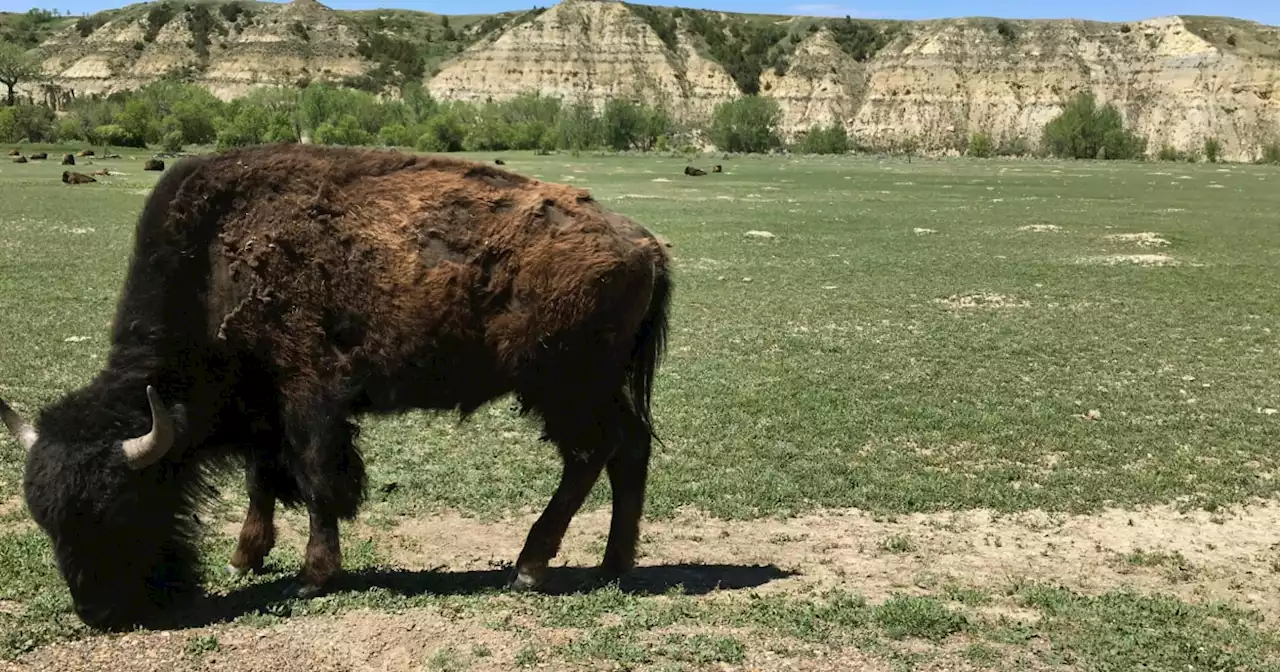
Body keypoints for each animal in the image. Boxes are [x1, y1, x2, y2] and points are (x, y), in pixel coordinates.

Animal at [0, 140, 675, 629]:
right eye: (44, 519)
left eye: (119, 505)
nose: (98, 613)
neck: (214, 261)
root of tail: (645, 244)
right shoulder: (265, 409)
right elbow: (265, 479)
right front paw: (245, 557)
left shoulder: (310, 398)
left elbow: (316, 480)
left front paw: (312, 576)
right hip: (591, 387)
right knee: (629, 449)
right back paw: (613, 566)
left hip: (562, 386)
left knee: (592, 454)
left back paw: (532, 567)